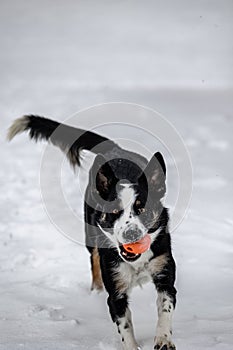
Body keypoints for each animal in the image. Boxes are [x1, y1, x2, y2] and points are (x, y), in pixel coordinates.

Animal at [7, 116, 177, 350]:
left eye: (142, 209)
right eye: (114, 212)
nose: (131, 234)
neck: (136, 260)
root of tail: (116, 150)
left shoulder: (164, 273)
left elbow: (165, 307)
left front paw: (163, 339)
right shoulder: (116, 292)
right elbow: (125, 326)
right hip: (90, 233)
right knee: (94, 259)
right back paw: (95, 290)